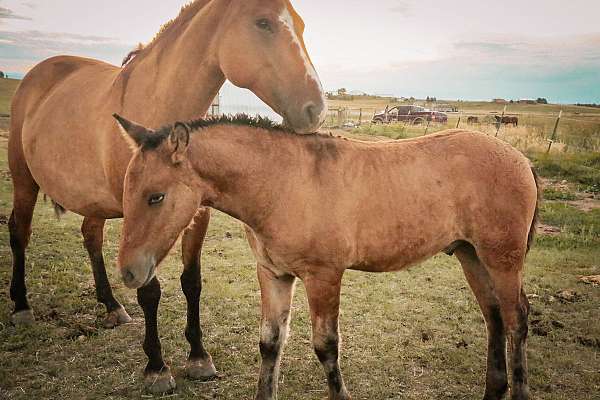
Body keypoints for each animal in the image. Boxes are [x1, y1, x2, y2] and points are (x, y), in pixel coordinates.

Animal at [7, 0, 326, 392]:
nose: (316, 109)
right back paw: (21, 306)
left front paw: (199, 357)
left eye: (301, 25)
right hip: (24, 180)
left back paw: (111, 305)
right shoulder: (137, 213)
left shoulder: (196, 213)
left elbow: (192, 282)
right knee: (19, 232)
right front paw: (157, 367)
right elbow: (149, 289)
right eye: (263, 23)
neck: (157, 101)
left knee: (91, 238)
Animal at [115, 113, 536, 400]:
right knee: (495, 317)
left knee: (516, 318)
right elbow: (270, 342)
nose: (130, 273)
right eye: (126, 192)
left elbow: (326, 345)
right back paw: (493, 390)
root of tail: (520, 158)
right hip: (471, 256)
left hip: (502, 259)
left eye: (156, 196)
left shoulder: (324, 276)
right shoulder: (273, 273)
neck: (284, 184)